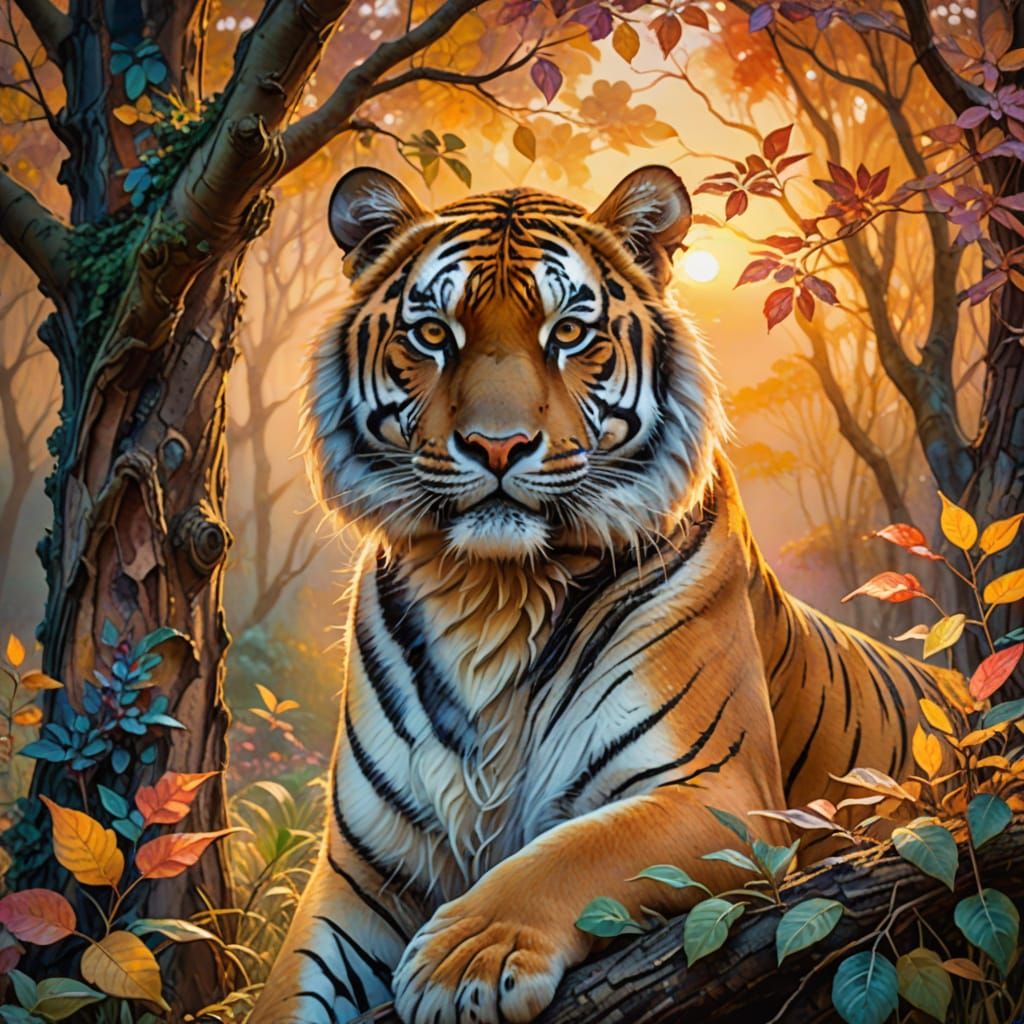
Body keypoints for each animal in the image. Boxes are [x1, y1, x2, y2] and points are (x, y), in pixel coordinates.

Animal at [250, 165, 961, 1024]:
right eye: (433, 334)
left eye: (567, 333)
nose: (496, 446)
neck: (491, 591)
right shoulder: (362, 870)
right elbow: (286, 987)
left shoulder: (723, 793)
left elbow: (572, 851)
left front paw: (465, 962)